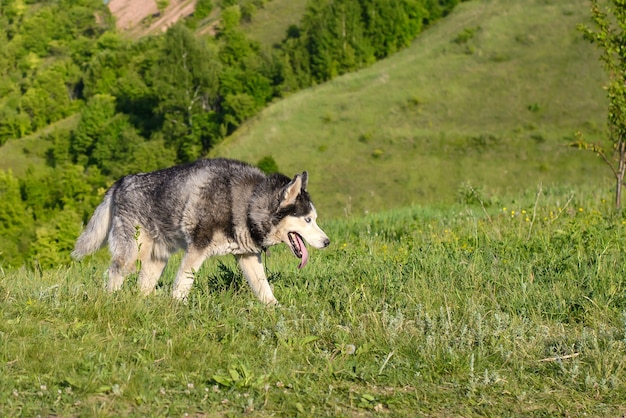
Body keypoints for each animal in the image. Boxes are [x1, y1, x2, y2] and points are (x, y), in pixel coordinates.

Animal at [70, 158, 330, 306]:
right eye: (307, 220)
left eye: (315, 219)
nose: (327, 241)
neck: (247, 203)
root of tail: (119, 183)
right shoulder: (196, 250)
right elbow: (181, 285)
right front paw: (177, 310)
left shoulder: (247, 256)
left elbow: (264, 288)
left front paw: (276, 311)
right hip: (132, 255)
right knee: (115, 272)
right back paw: (112, 301)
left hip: (156, 259)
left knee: (142, 287)